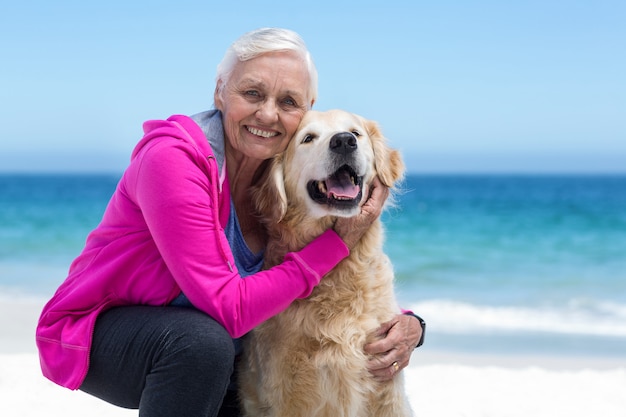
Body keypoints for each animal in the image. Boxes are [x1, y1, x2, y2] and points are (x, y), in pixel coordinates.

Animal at [239, 109, 410, 414]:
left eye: (355, 133)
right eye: (308, 138)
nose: (343, 142)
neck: (339, 276)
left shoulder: (386, 391)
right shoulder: (287, 394)